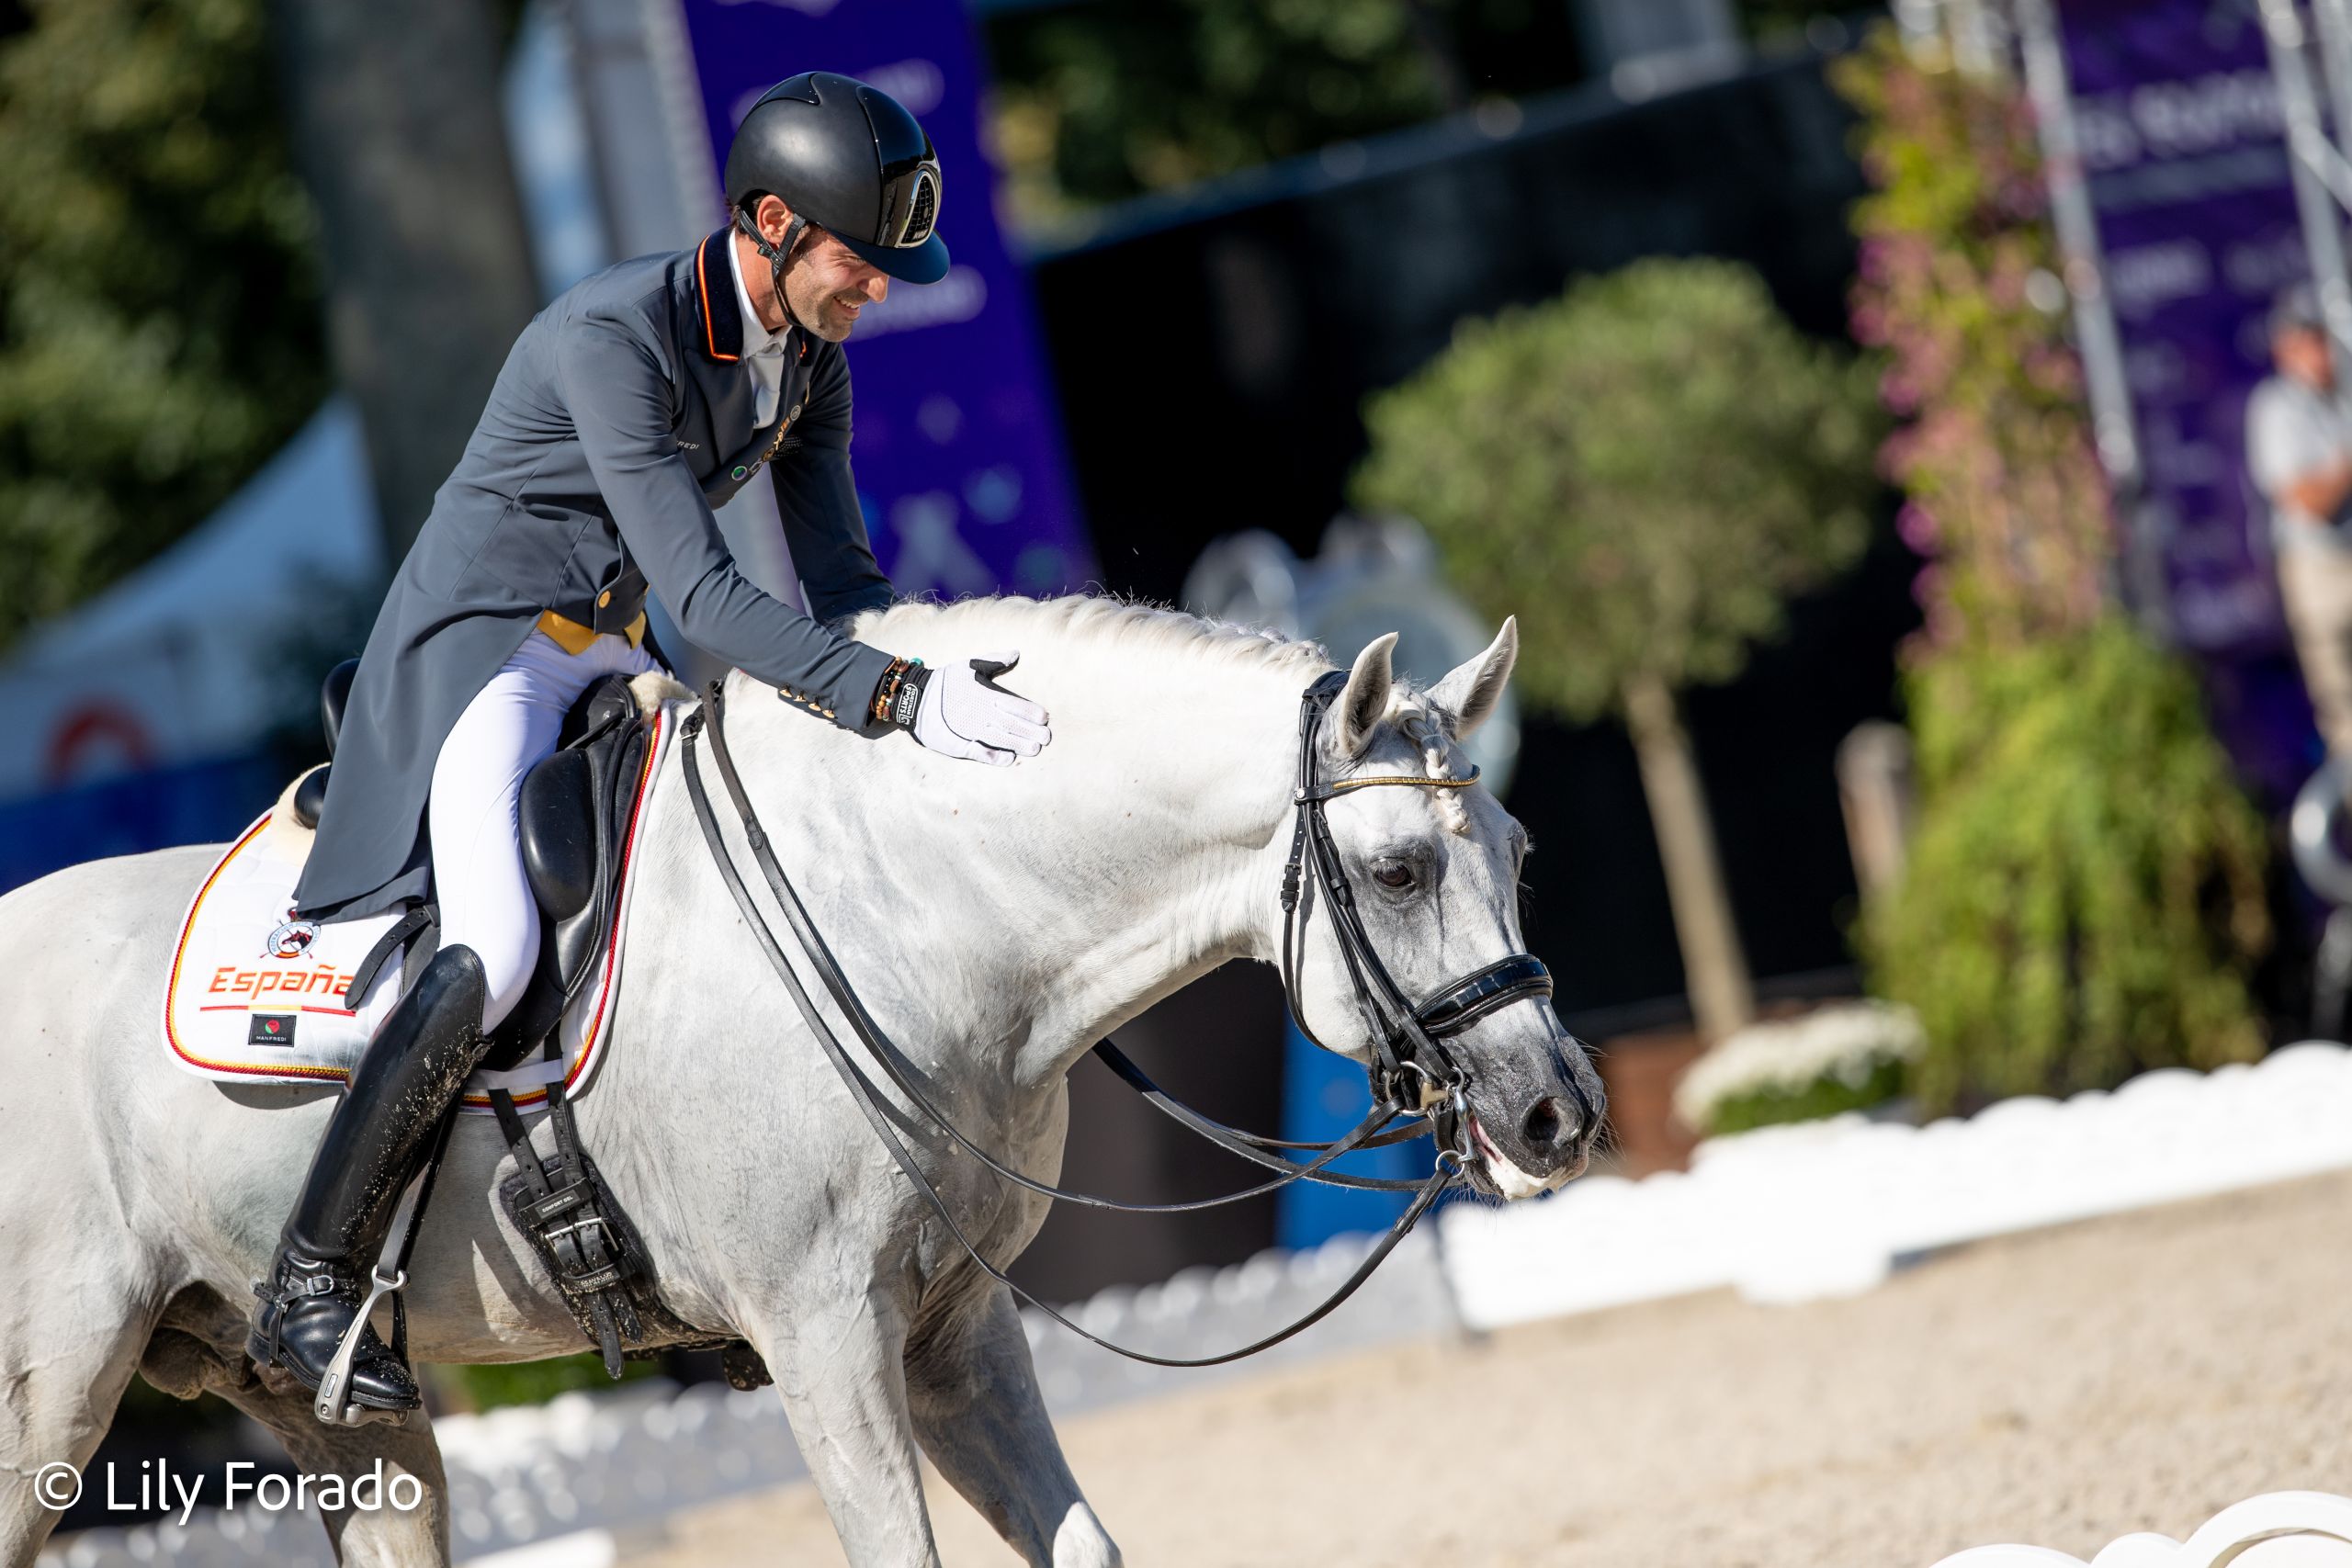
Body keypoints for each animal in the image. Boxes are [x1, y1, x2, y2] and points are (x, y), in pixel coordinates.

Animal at [0, 594, 1599, 1561]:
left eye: (1522, 852)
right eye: (1398, 870)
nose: (1556, 1115)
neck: (907, 915)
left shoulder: (954, 1329)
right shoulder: (820, 1333)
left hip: (337, 1417)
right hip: (53, 1395)